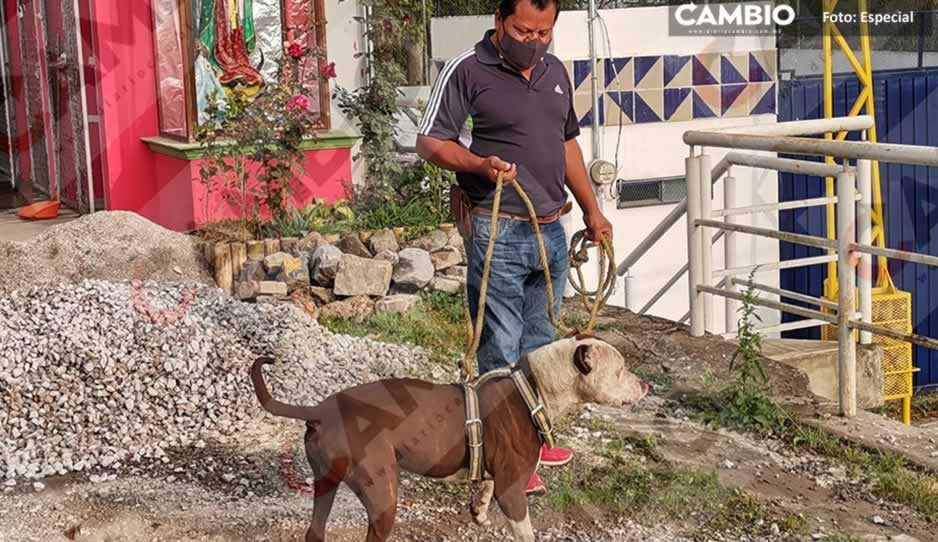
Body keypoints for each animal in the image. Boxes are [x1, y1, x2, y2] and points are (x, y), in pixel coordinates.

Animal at [254, 338, 652, 540]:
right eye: (620, 370)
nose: (647, 385)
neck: (535, 387)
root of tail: (320, 410)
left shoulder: (500, 475)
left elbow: (486, 486)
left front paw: (478, 510)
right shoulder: (513, 494)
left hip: (326, 483)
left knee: (315, 531)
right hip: (382, 493)